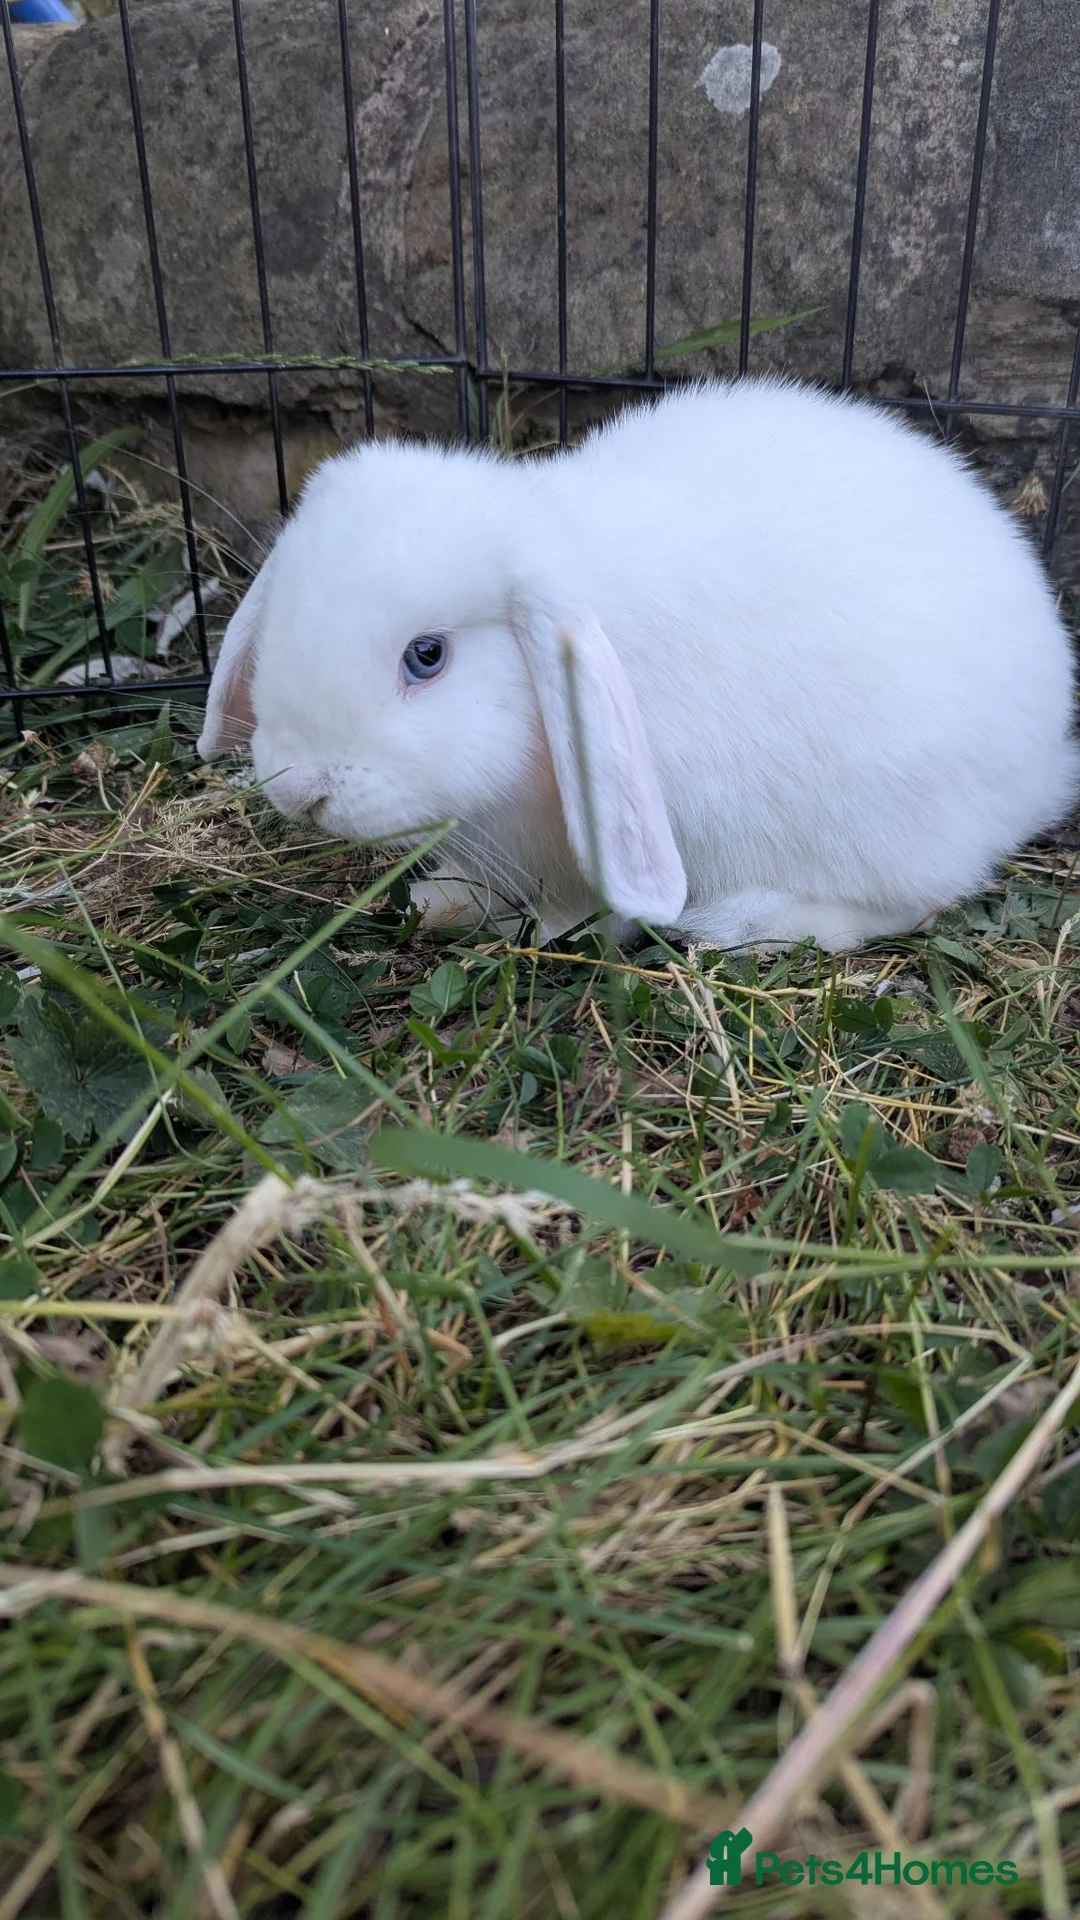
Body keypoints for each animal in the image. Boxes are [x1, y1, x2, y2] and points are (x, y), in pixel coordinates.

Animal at [197, 377, 1080, 952]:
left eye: (427, 657)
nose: (300, 793)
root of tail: (1044, 760)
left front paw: (547, 928)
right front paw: (444, 899)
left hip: (893, 826)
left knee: (915, 903)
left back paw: (749, 924)